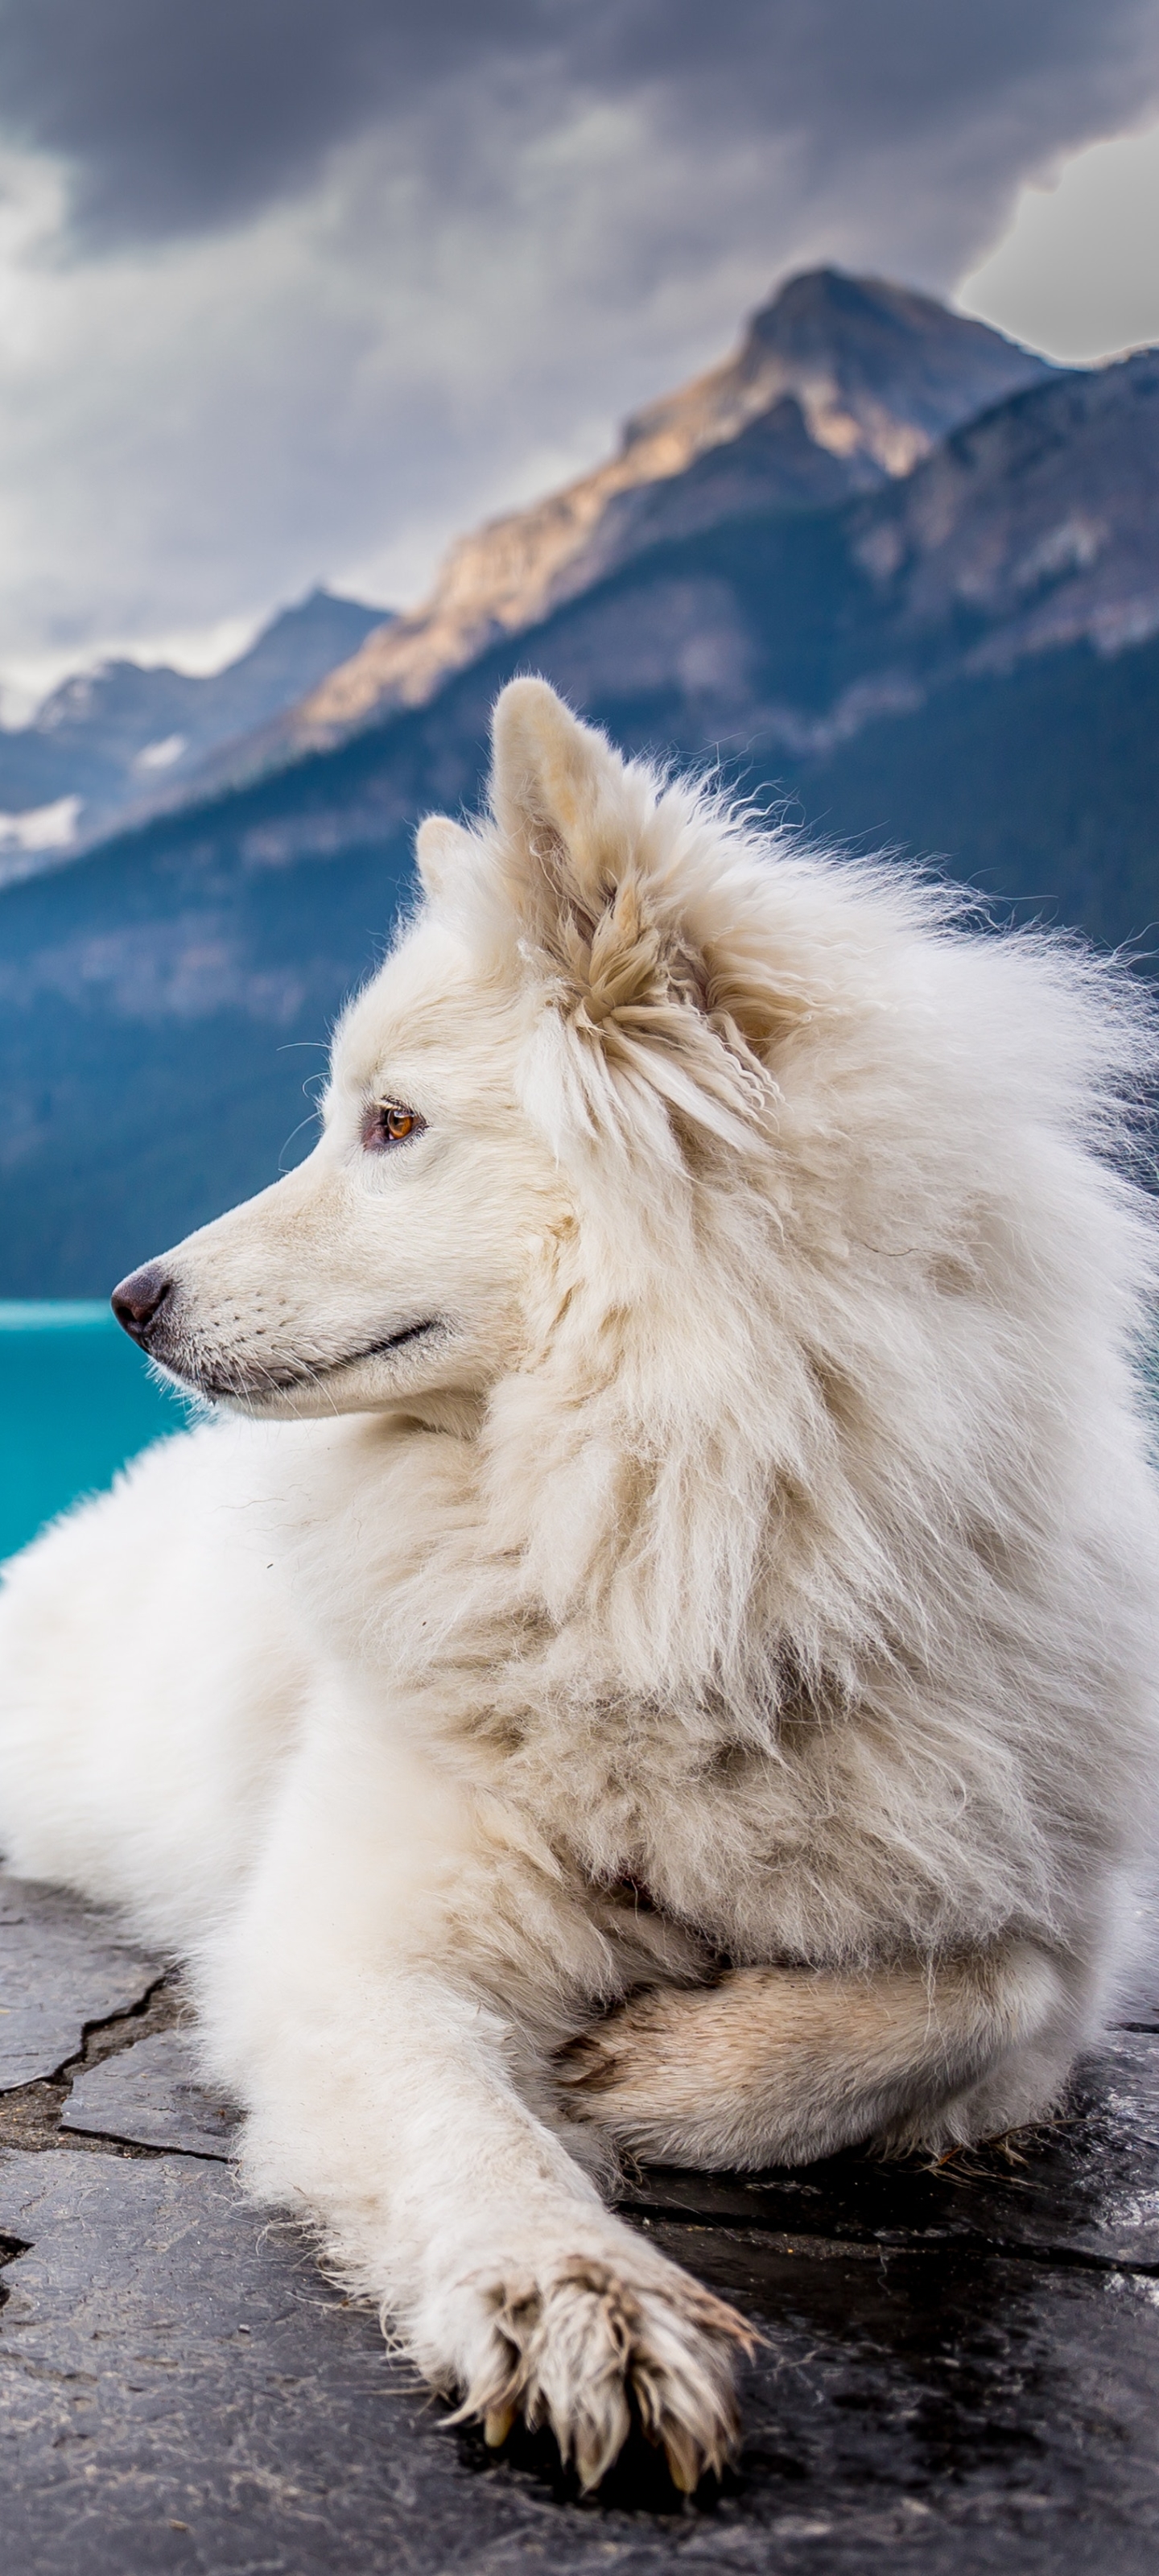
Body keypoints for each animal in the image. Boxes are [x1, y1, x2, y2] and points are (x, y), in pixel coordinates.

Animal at [2, 675, 1159, 2483]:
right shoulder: (353, 1946)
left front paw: (663, 2070)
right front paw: (570, 2296)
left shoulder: (1065, 1921)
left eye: (390, 1124)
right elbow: (471, 2136)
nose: (129, 1300)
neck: (683, 1541)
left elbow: (969, 1995)